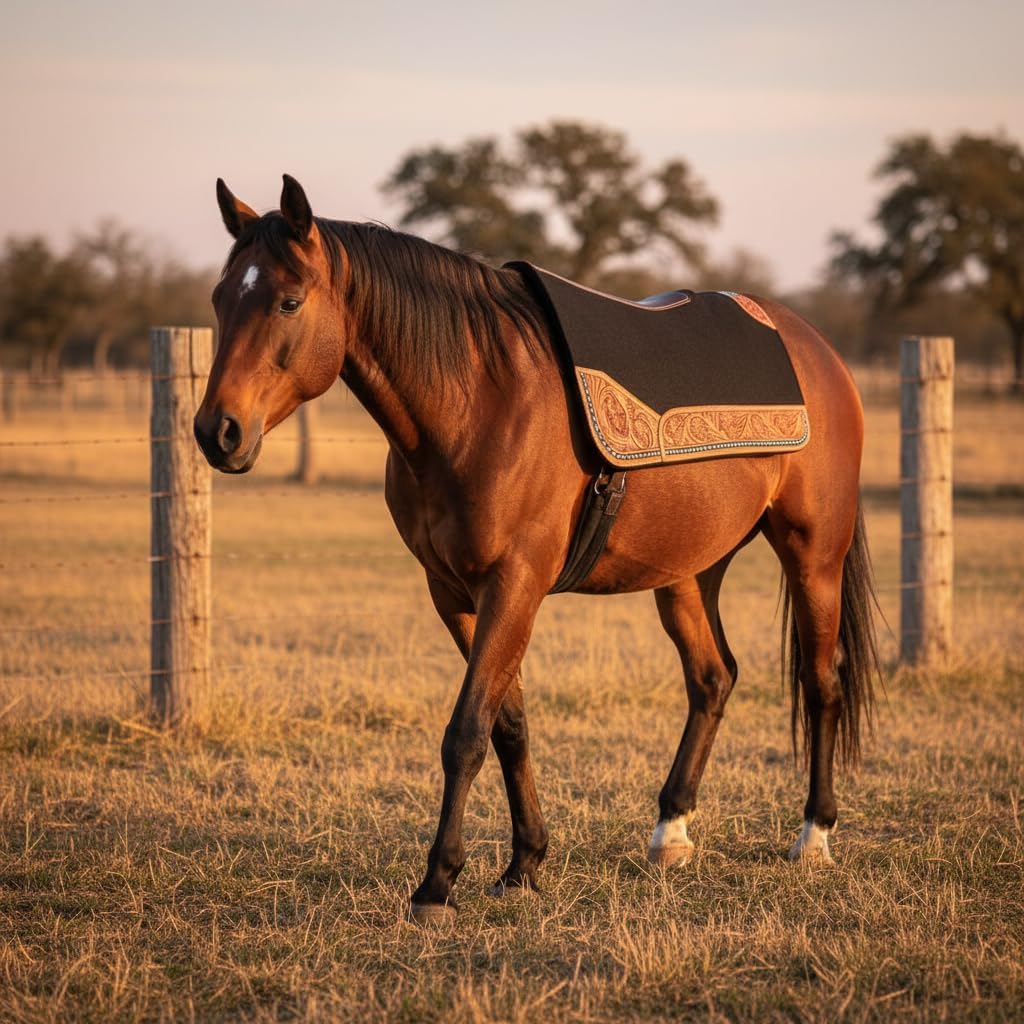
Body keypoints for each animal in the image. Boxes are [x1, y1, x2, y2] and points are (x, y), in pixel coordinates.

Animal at [195, 174, 880, 924]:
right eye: (221, 298)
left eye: (288, 300)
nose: (217, 432)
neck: (481, 400)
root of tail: (815, 349)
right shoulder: (454, 593)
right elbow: (508, 725)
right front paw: (524, 864)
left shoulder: (514, 584)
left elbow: (466, 731)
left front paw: (437, 885)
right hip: (690, 570)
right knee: (712, 677)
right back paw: (670, 833)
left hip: (814, 554)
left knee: (821, 683)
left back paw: (813, 836)